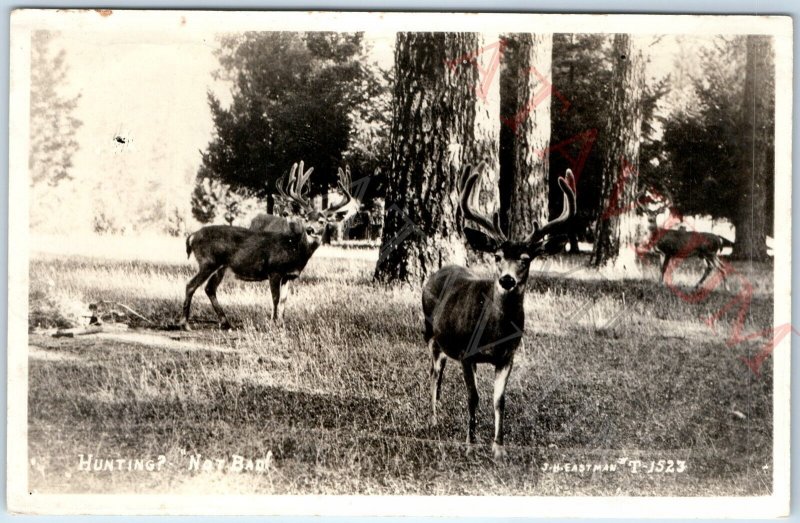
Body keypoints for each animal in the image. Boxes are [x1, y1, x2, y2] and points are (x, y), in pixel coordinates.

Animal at [181, 162, 356, 330]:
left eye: (322, 221)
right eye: (306, 218)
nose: (310, 229)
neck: (294, 249)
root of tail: (192, 236)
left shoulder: (288, 275)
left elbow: (284, 300)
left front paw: (282, 324)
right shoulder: (274, 270)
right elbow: (275, 298)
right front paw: (273, 323)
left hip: (220, 266)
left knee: (209, 288)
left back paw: (226, 323)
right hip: (208, 261)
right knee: (190, 285)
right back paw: (185, 323)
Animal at [422, 166, 580, 460]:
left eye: (526, 260)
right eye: (497, 256)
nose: (507, 280)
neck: (493, 332)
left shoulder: (508, 356)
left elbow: (499, 400)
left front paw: (498, 447)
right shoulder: (467, 352)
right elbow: (473, 397)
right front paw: (470, 444)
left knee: (440, 373)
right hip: (430, 334)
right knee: (434, 374)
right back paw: (434, 419)